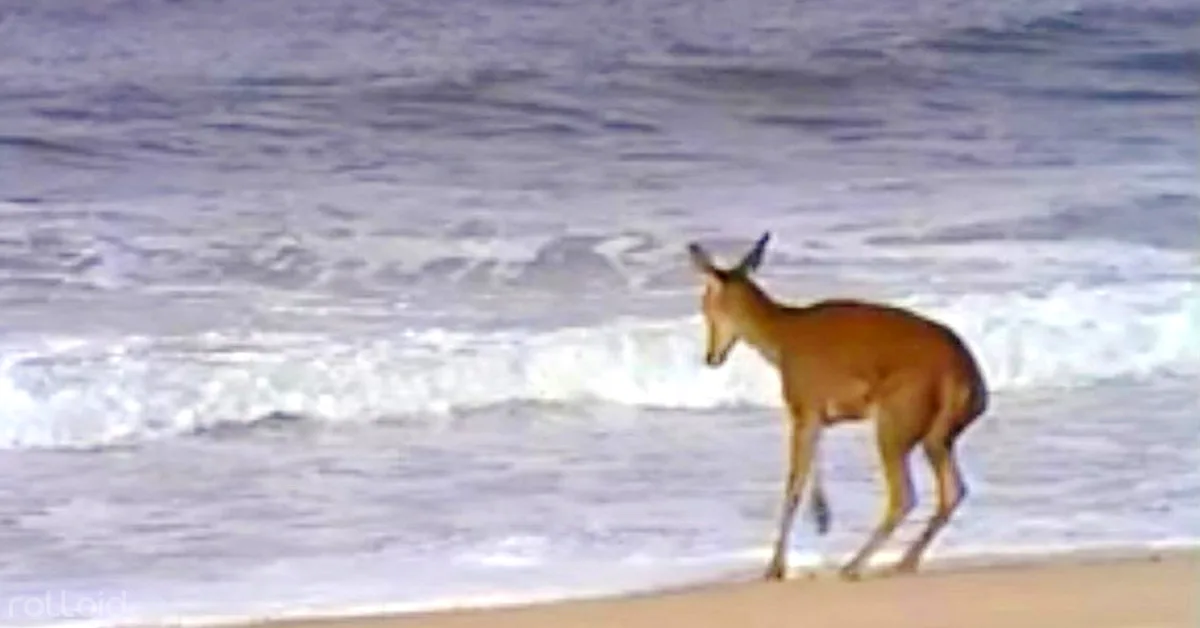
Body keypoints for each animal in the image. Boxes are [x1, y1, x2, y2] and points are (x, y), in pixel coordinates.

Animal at [686, 232, 989, 581]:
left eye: (706, 305)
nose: (711, 357)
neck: (781, 337)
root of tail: (968, 376)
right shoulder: (819, 415)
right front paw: (821, 519)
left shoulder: (802, 408)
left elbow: (793, 485)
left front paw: (775, 567)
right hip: (939, 436)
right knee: (953, 490)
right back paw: (903, 562)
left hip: (895, 426)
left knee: (905, 495)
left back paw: (854, 565)